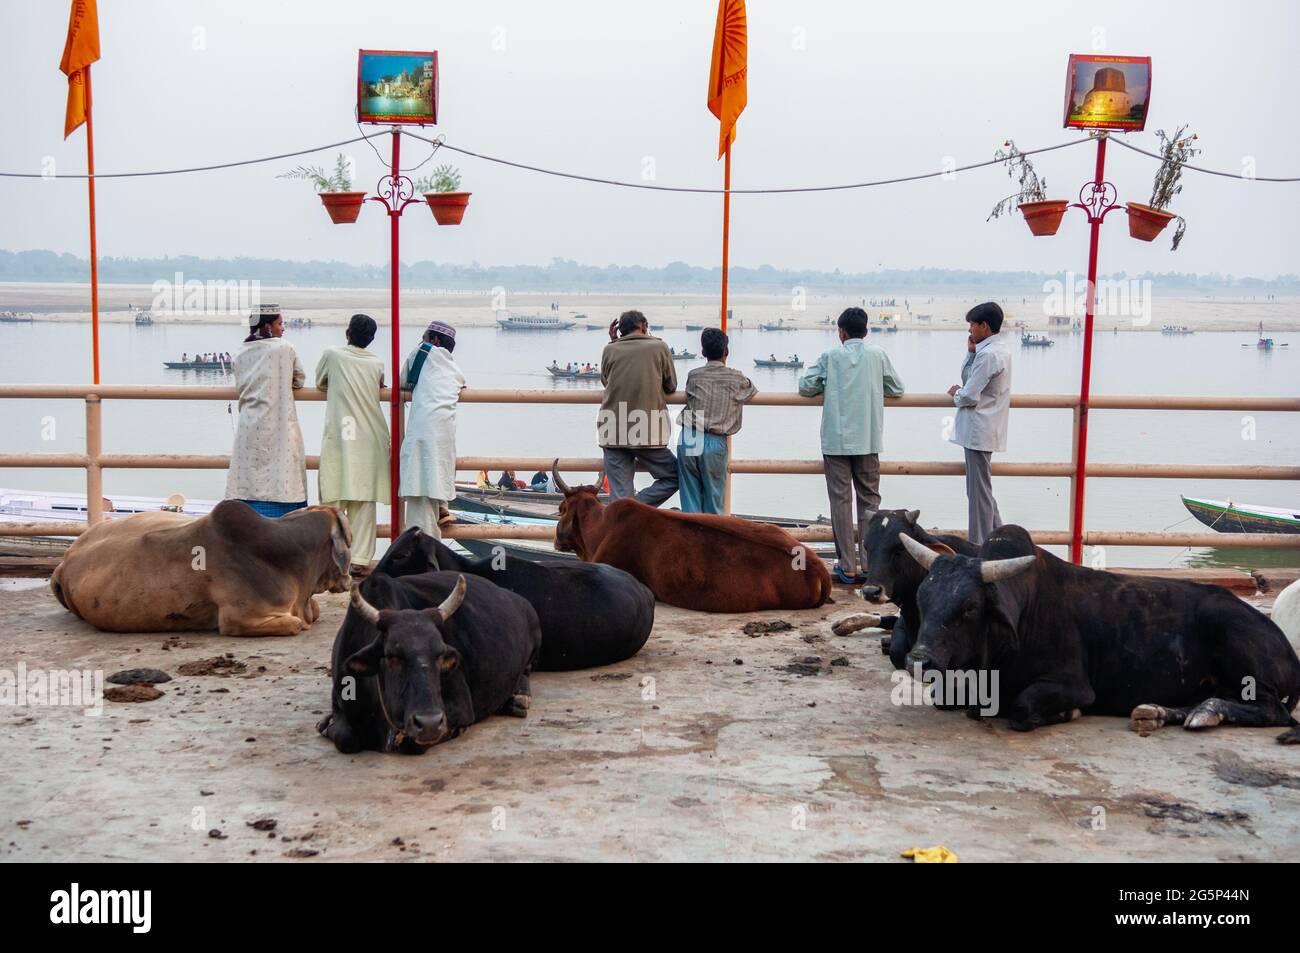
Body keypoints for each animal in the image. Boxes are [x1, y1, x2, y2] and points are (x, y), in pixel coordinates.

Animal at [318, 571, 542, 754]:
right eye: (392, 656)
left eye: (440, 654)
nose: (430, 723)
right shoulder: (338, 702)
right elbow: (346, 739)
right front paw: (326, 725)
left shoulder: (460, 707)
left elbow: (413, 743)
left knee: (526, 671)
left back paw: (519, 698)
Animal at [899, 525, 1300, 741]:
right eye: (923, 598)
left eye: (969, 607)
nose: (919, 660)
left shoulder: (1073, 684)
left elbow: (1022, 708)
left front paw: (1068, 713)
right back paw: (1156, 712)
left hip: (1243, 659)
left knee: (1273, 712)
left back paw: (1207, 712)